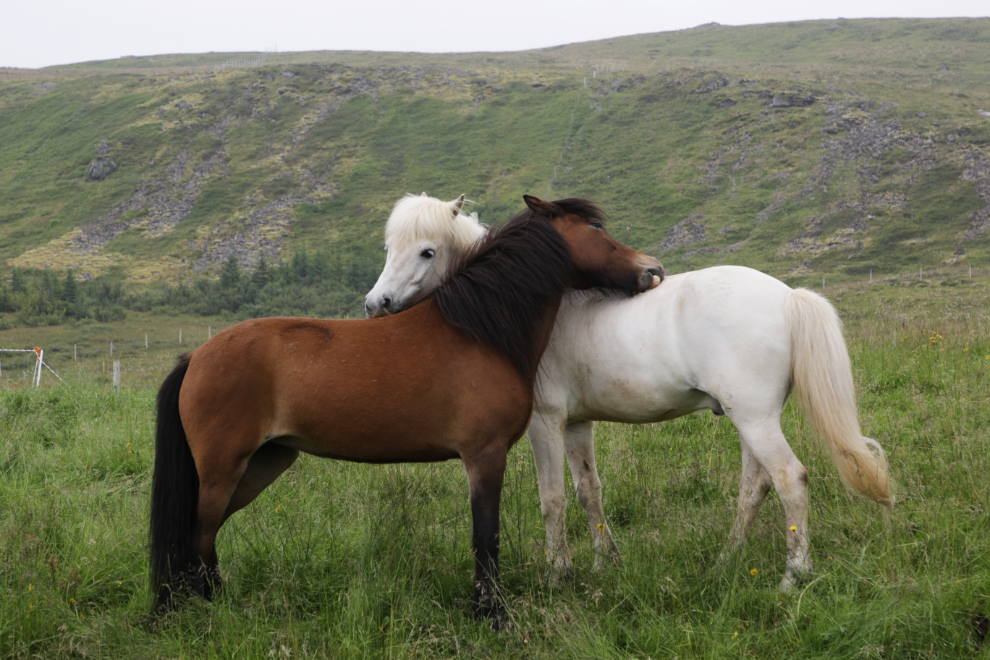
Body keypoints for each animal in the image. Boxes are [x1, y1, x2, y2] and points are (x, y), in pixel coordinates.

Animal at [150, 194, 664, 623]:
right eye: (596, 230)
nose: (652, 269)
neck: (480, 330)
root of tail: (196, 356)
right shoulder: (485, 455)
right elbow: (486, 536)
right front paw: (491, 612)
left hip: (262, 463)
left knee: (206, 538)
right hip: (224, 469)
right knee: (198, 534)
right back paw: (204, 614)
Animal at [365, 194, 892, 589]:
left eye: (427, 251)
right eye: (389, 248)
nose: (376, 304)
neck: (527, 311)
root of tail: (787, 296)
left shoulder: (544, 424)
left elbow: (552, 497)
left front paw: (558, 574)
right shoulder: (577, 424)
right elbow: (588, 493)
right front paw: (606, 562)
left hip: (756, 420)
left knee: (790, 479)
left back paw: (792, 576)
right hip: (750, 419)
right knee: (755, 486)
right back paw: (725, 562)